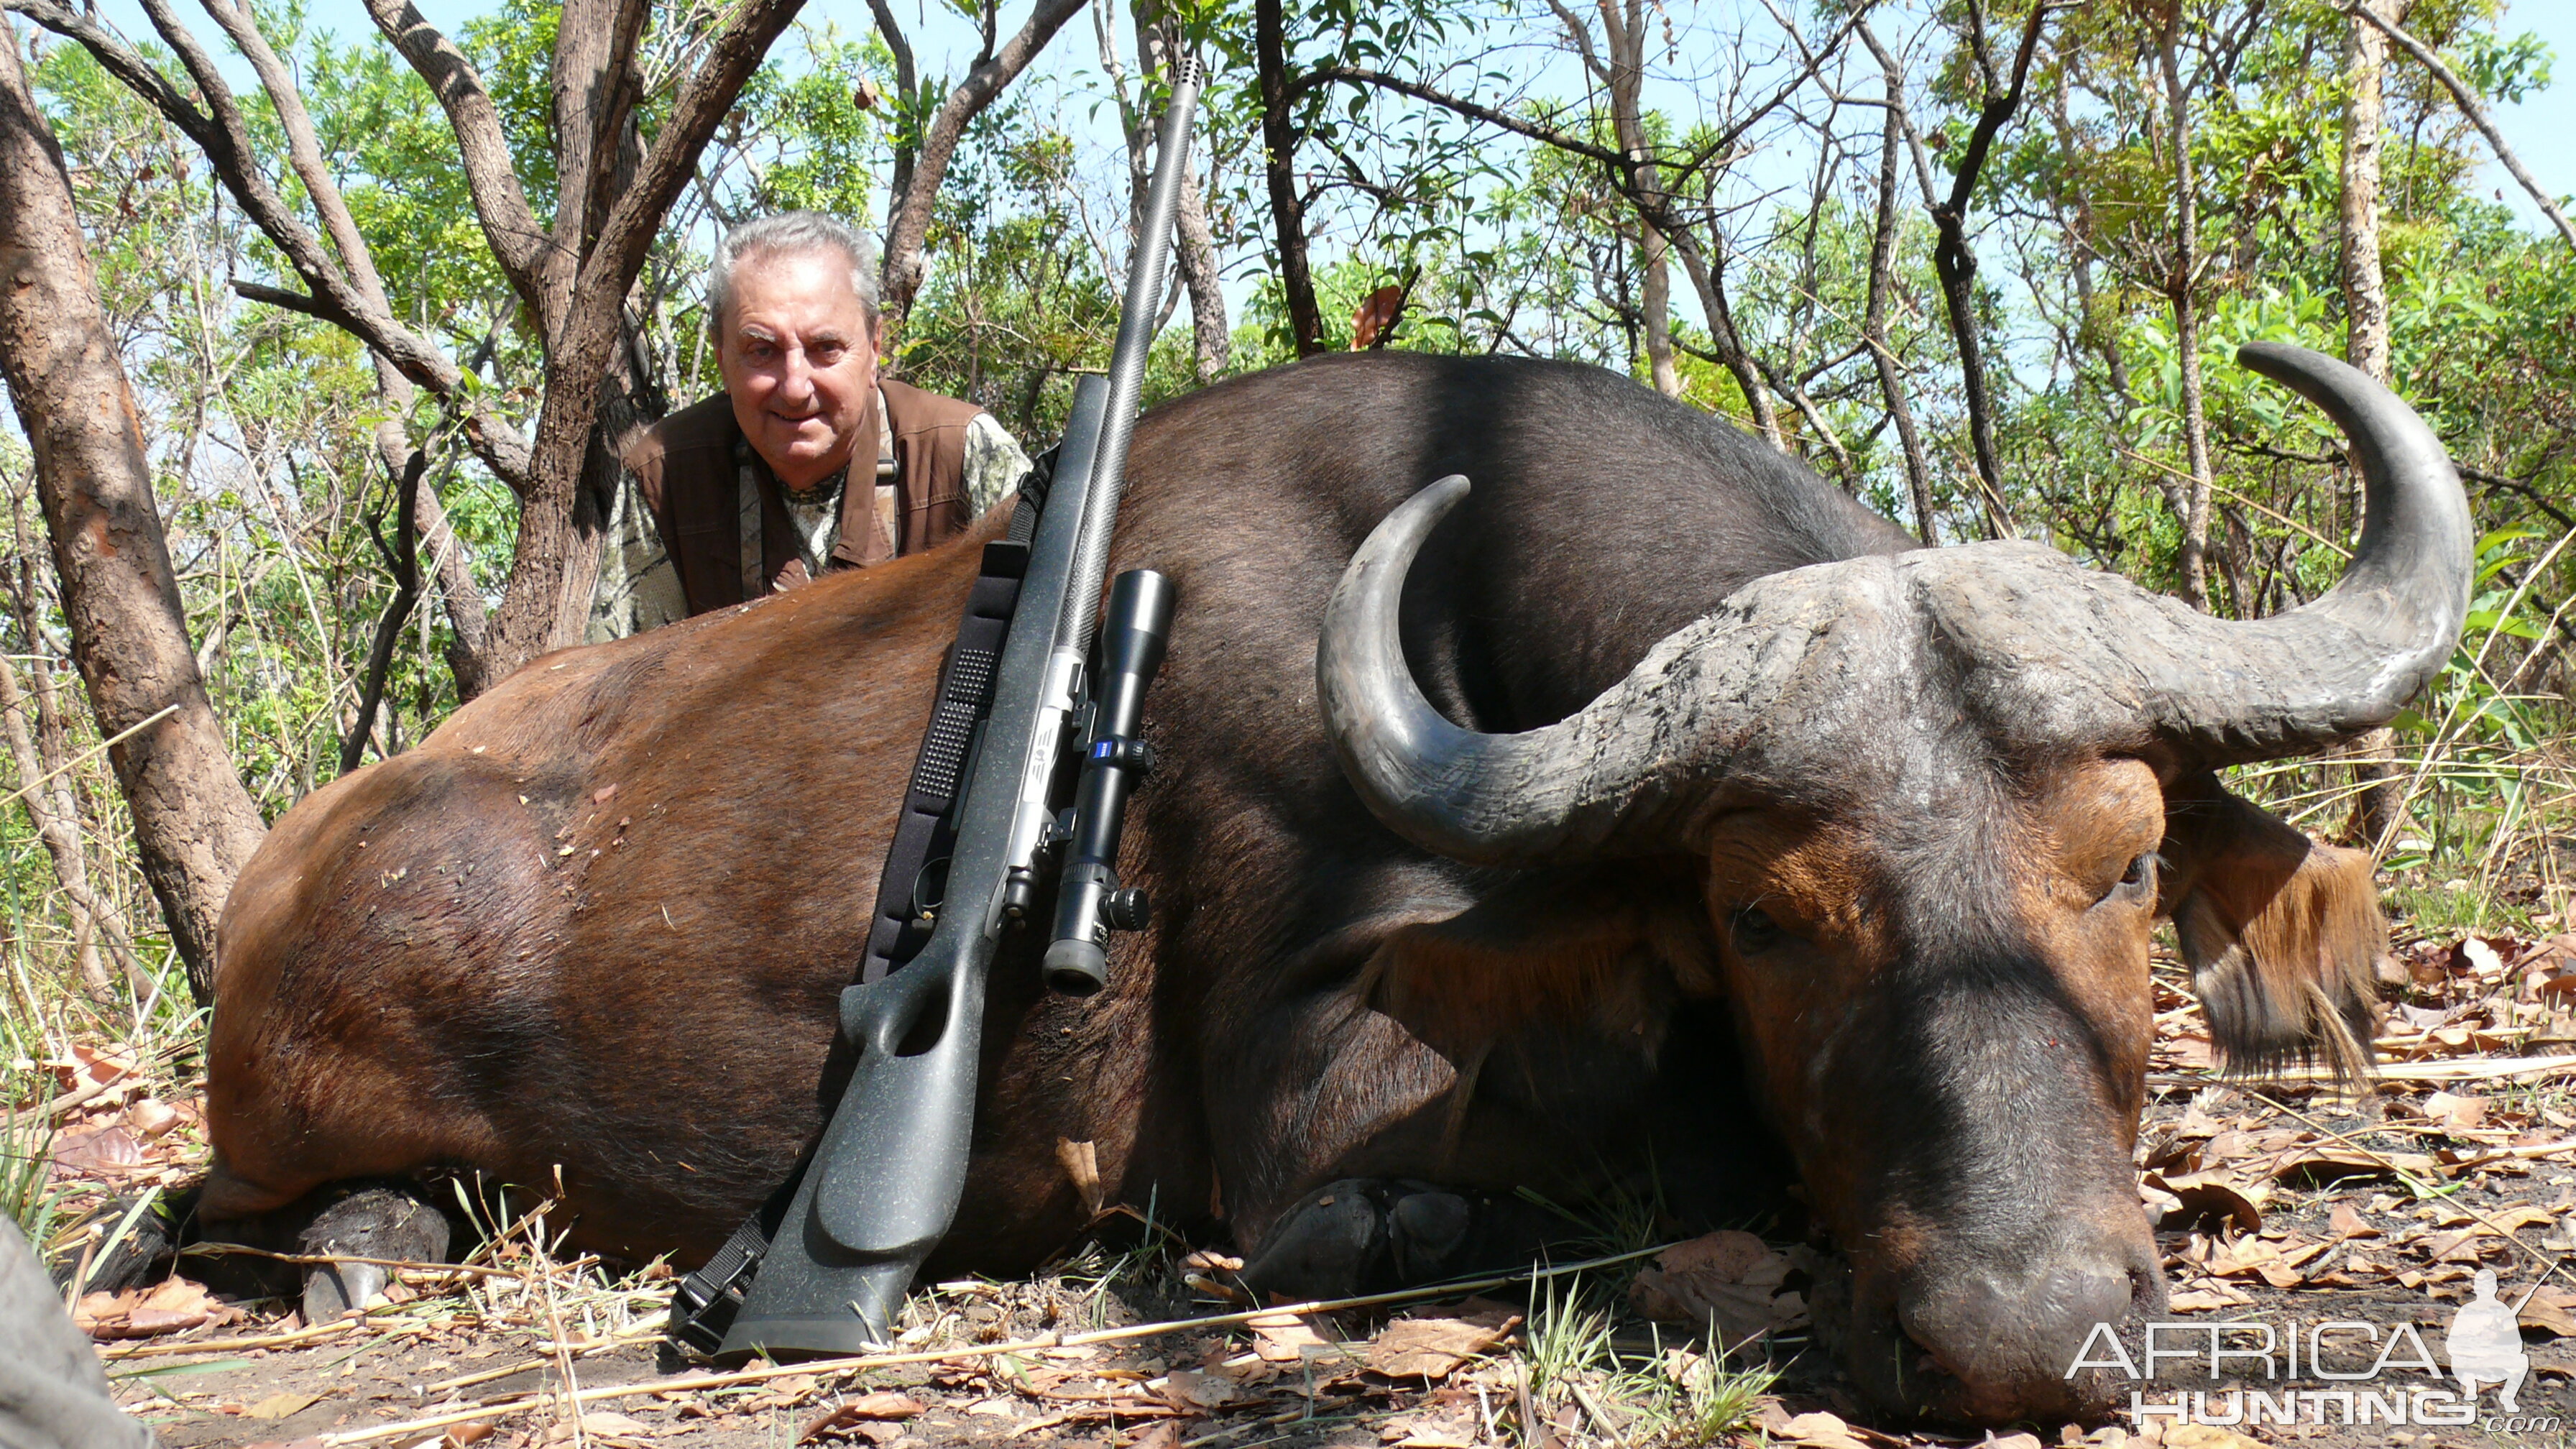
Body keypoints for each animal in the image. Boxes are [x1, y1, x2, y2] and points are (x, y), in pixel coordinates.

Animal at [196, 343, 2452, 1412]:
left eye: (2128, 866)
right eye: (1763, 918)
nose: (2025, 1334)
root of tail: (278, 888)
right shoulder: (1304, 1128)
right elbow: (1425, 1208)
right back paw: (371, 1239)